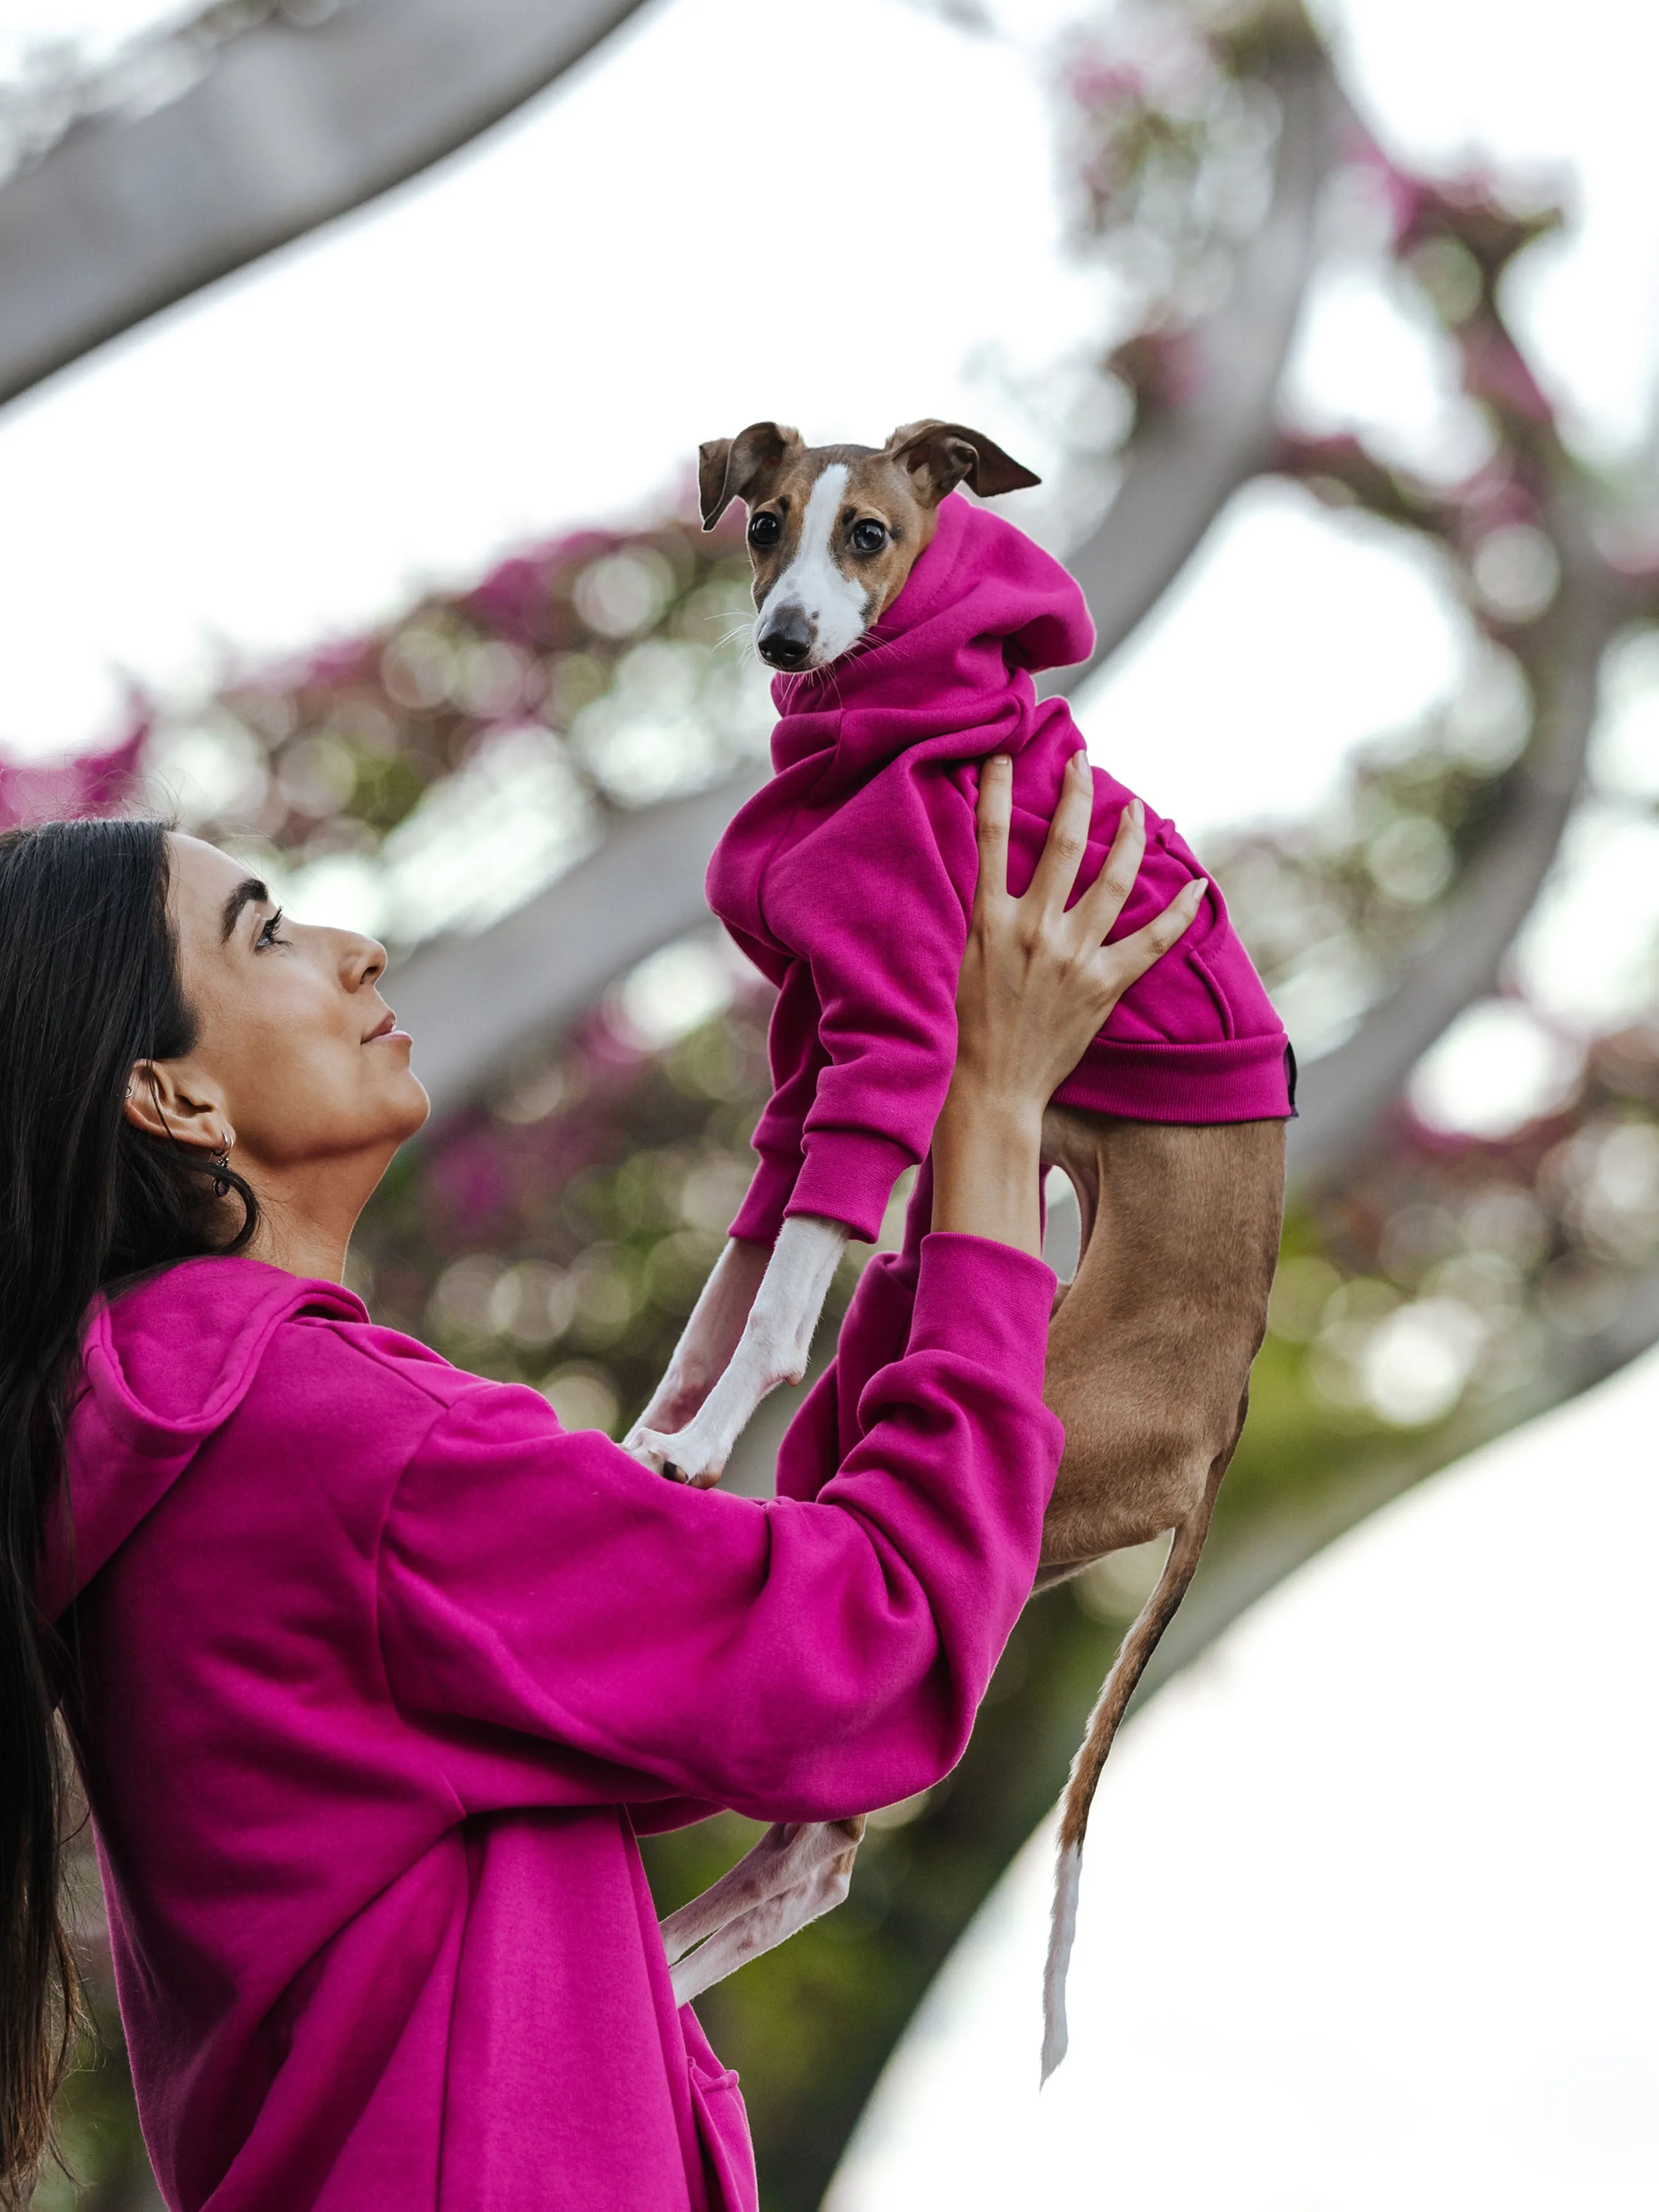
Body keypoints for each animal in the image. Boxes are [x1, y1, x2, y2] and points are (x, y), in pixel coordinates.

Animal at [628, 422, 1292, 2061]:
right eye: (764, 524)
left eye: (868, 533)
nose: (786, 639)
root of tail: (1216, 1431)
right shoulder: (809, 1046)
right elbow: (738, 1273)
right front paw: (651, 1437)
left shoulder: (895, 1030)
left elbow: (776, 1296)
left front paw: (694, 1447)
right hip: (895, 1382)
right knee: (811, 1841)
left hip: (1011, 1477)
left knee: (830, 1829)